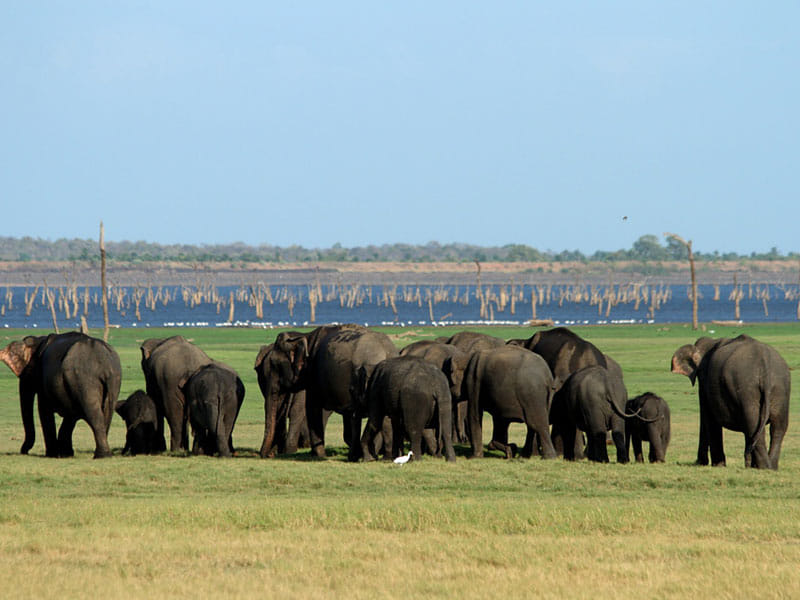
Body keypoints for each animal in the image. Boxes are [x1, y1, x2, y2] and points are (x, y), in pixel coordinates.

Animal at [671, 334, 790, 469]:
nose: (698, 462)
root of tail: (765, 368)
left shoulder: (705, 380)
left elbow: (709, 417)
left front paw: (718, 465)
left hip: (747, 389)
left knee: (754, 425)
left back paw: (764, 467)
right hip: (780, 389)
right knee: (778, 427)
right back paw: (770, 467)